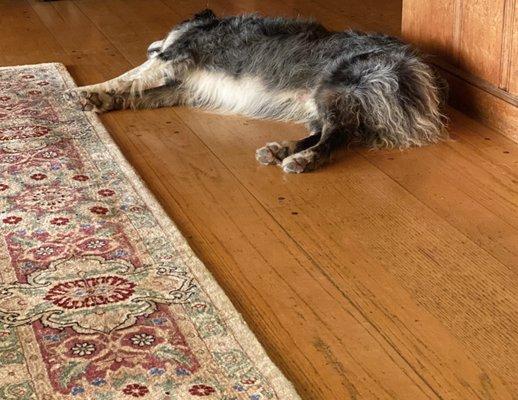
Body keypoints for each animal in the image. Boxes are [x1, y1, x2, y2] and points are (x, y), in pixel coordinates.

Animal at [68, 9, 450, 173]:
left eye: (162, 35)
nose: (150, 45)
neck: (205, 25)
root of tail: (412, 67)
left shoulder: (177, 56)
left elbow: (130, 75)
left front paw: (85, 90)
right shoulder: (182, 88)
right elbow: (138, 93)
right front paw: (100, 99)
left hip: (332, 88)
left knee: (335, 135)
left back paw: (301, 159)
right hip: (323, 101)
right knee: (331, 131)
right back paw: (280, 149)